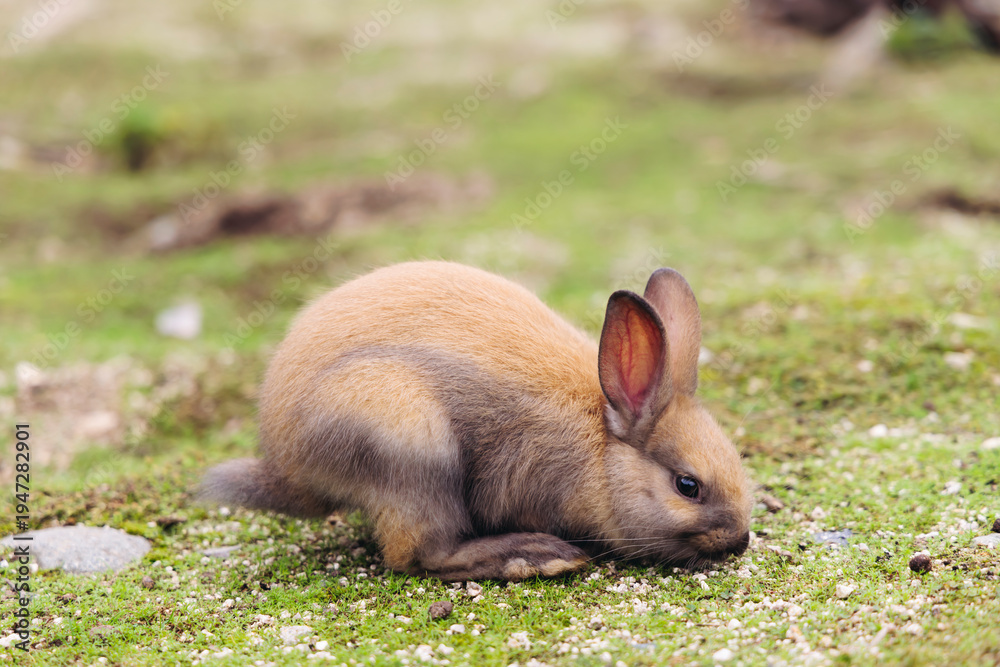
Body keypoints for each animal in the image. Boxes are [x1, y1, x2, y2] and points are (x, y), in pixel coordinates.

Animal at [202, 261, 753, 581]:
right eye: (687, 486)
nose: (740, 541)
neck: (602, 451)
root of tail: (287, 464)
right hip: (413, 447)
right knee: (419, 555)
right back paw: (537, 556)